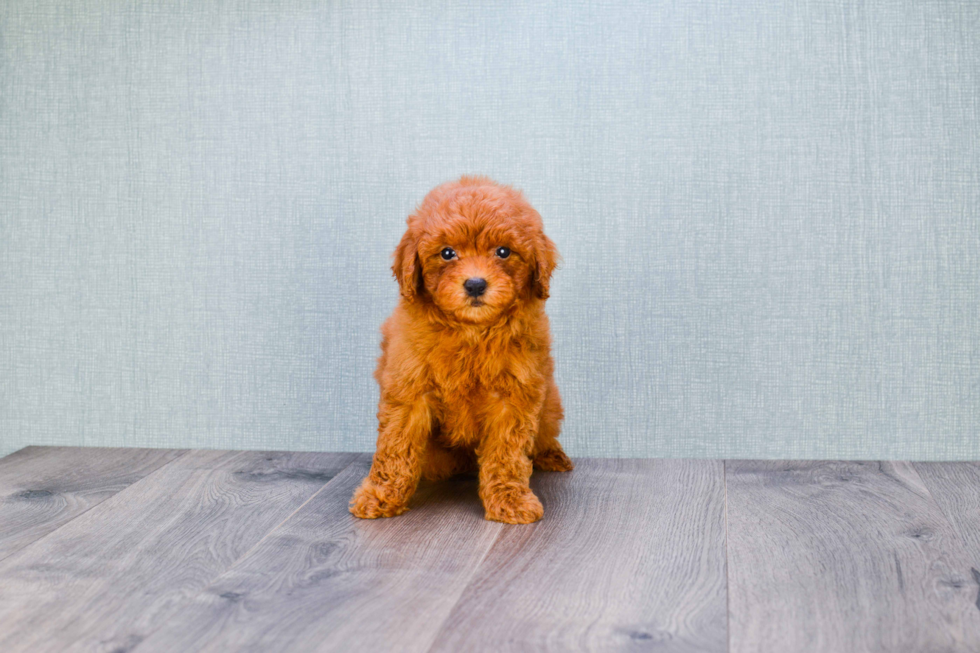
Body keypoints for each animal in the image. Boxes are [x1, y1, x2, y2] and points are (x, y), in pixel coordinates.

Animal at [348, 176, 572, 524]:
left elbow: (507, 454)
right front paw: (380, 495)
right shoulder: (409, 389)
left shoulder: (514, 395)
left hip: (550, 404)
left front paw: (510, 500)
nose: (476, 284)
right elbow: (395, 446)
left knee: (545, 434)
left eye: (503, 252)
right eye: (447, 253)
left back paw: (552, 455)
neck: (471, 331)